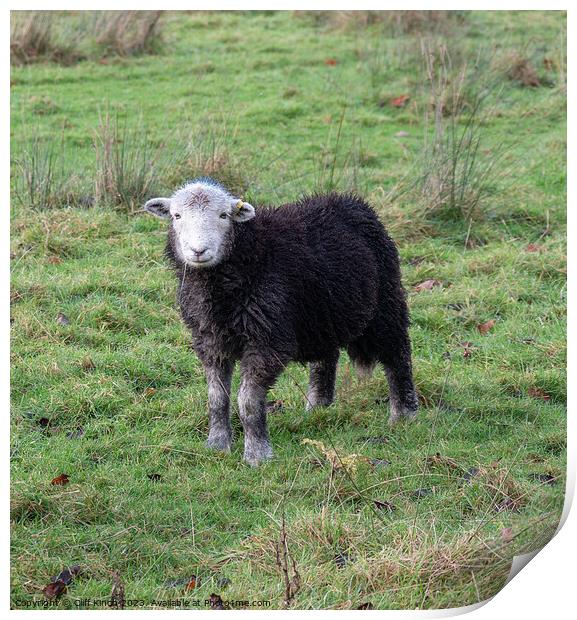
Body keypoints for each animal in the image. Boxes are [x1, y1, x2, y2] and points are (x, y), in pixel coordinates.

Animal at [143, 178, 414, 464]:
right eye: (176, 215)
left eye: (224, 215)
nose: (198, 251)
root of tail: (350, 201)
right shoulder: (210, 340)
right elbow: (216, 397)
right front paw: (217, 445)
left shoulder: (267, 340)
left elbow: (248, 400)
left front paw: (257, 455)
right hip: (321, 314)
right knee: (326, 357)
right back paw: (318, 408)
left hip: (385, 302)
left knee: (398, 354)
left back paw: (404, 414)